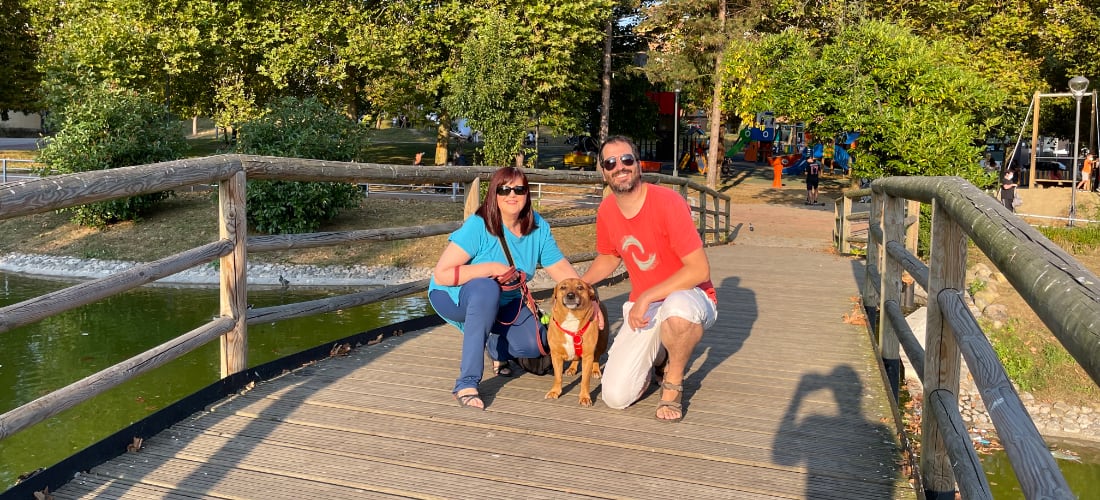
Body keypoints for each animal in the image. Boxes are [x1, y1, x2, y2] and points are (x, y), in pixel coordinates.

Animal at [547, 278, 616, 406]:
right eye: (563, 287)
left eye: (580, 287)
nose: (570, 295)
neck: (571, 317)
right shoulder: (555, 355)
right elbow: (558, 376)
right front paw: (555, 391)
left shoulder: (588, 356)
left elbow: (585, 380)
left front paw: (585, 397)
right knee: (576, 357)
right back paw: (572, 368)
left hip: (602, 343)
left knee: (596, 357)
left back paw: (595, 370)